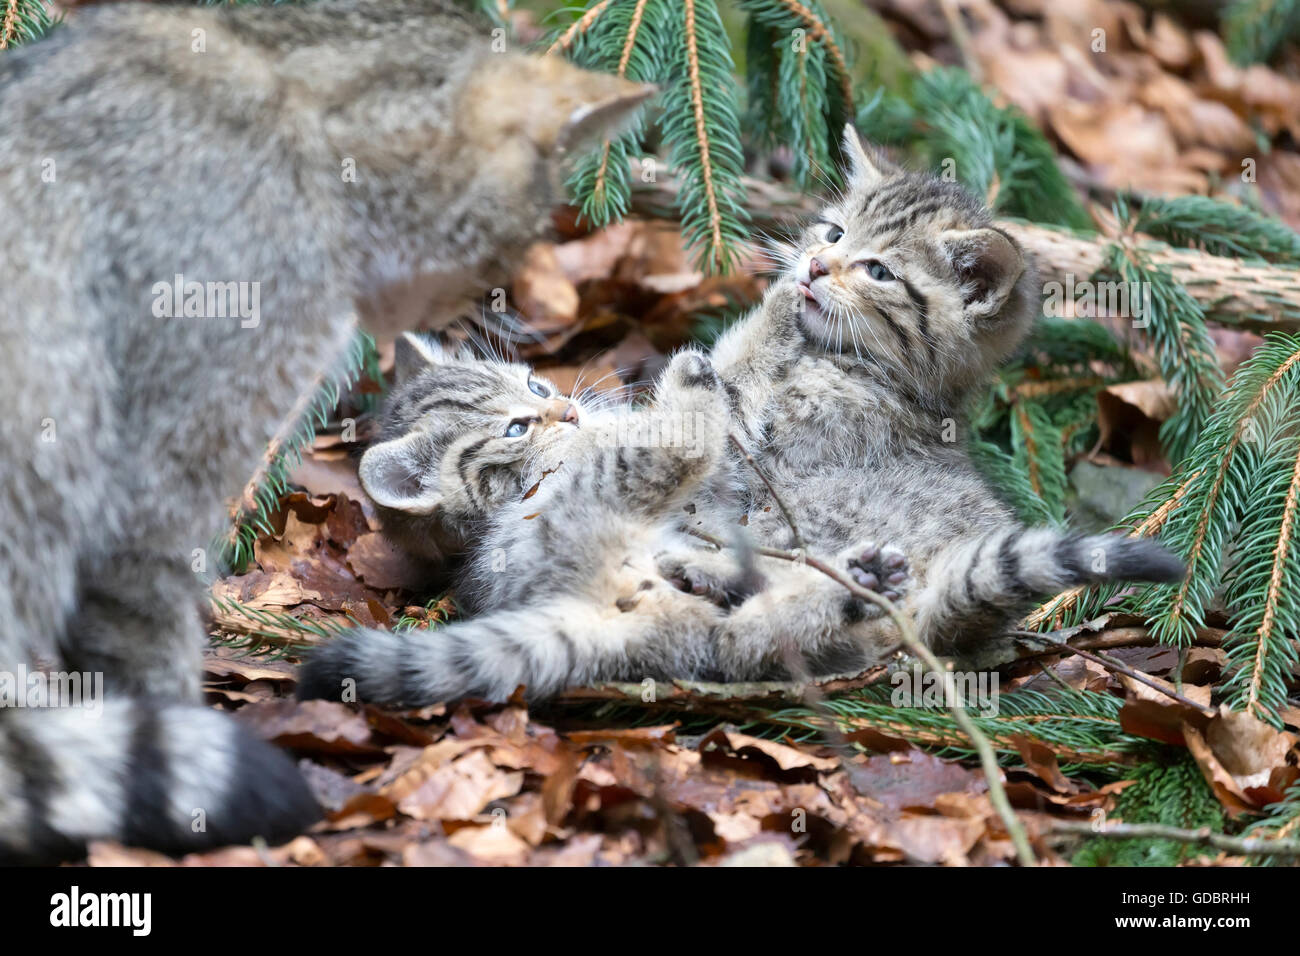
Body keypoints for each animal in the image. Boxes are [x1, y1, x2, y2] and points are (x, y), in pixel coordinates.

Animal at [691, 127, 1190, 671]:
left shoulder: (761, 448)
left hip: (795, 519)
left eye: (879, 272)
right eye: (835, 234)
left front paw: (778, 303)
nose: (815, 265)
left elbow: (725, 392)